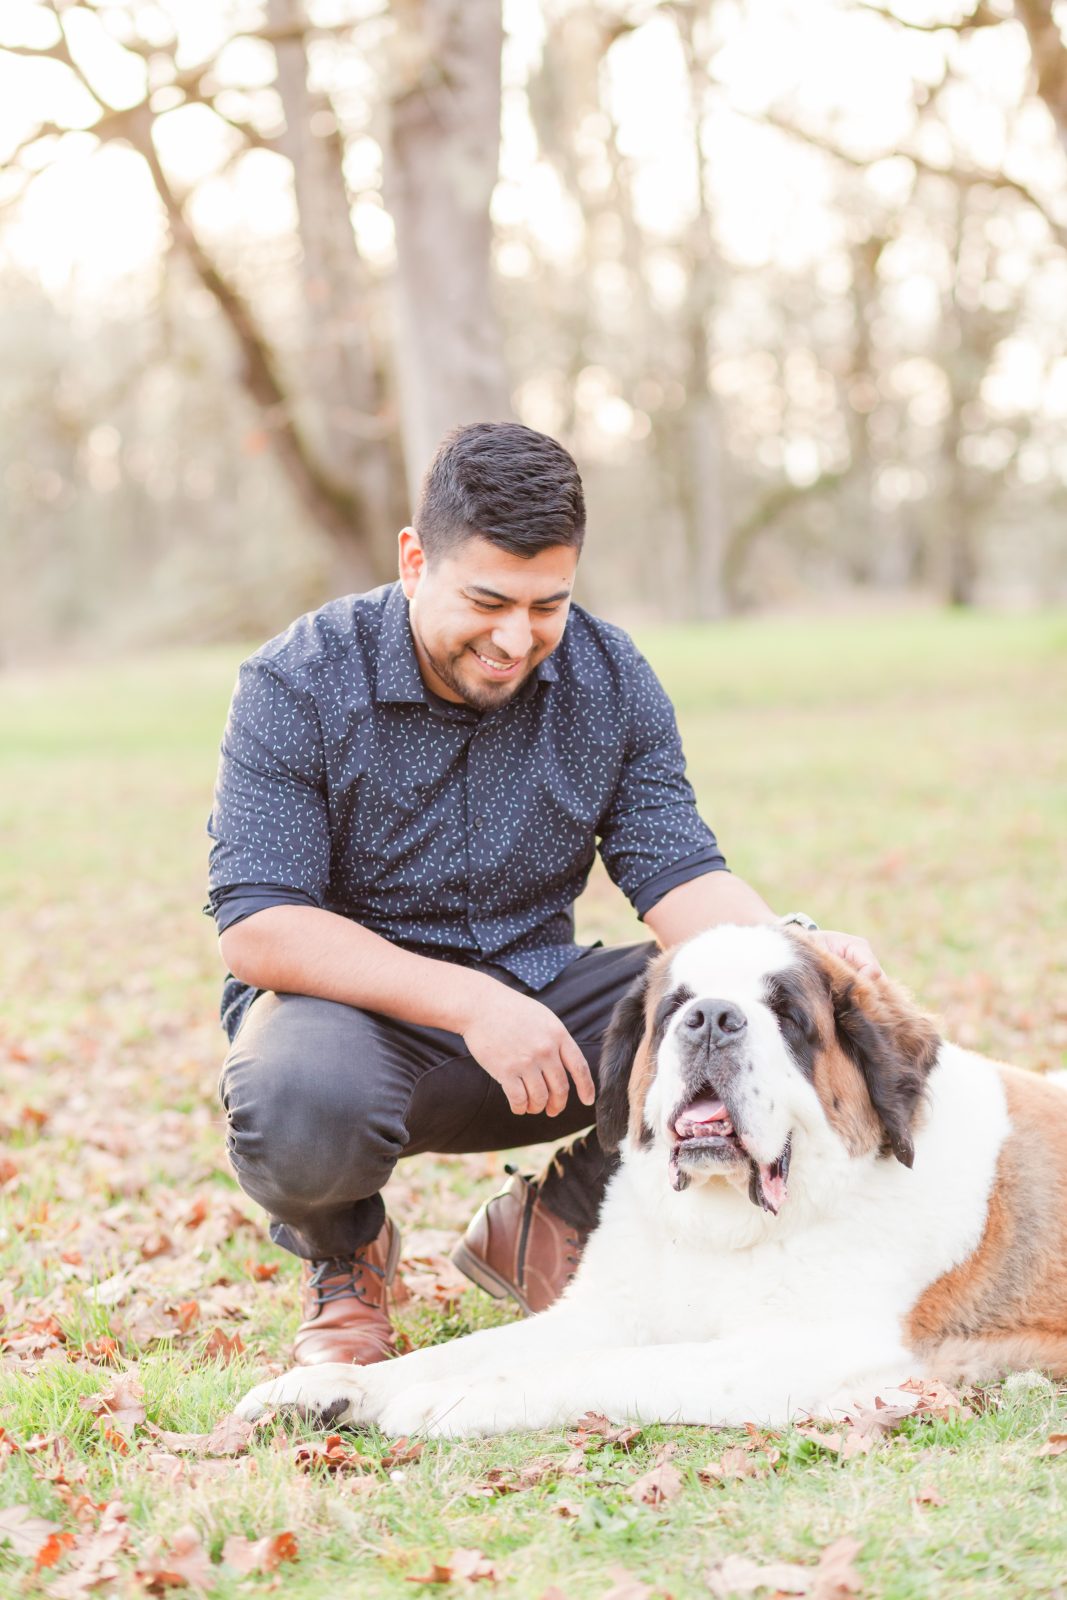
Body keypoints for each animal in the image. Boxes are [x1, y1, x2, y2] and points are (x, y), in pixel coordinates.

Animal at [235, 928, 1067, 1440]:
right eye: (674, 1006)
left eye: (785, 1014)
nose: (712, 1017)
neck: (725, 1230)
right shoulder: (603, 1312)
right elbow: (459, 1350)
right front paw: (327, 1386)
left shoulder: (798, 1351)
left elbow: (599, 1368)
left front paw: (458, 1399)